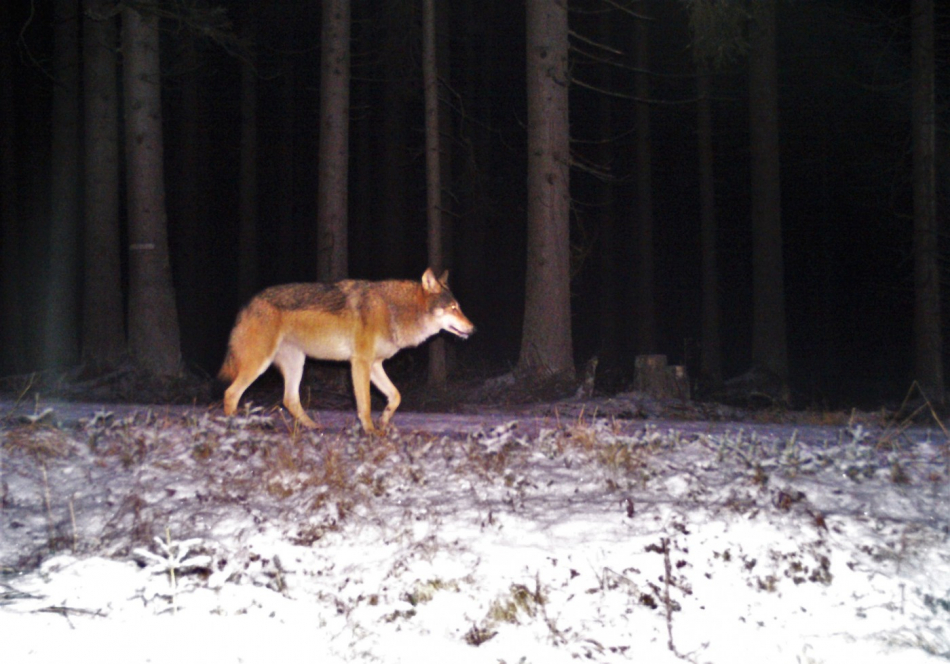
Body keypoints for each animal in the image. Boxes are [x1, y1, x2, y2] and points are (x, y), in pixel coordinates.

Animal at [221, 268, 476, 434]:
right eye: (453, 308)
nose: (473, 329)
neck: (394, 311)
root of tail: (247, 305)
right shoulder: (360, 362)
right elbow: (365, 404)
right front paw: (371, 431)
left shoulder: (375, 365)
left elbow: (395, 396)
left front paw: (384, 420)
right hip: (259, 364)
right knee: (231, 393)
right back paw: (236, 429)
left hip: (297, 363)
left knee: (290, 399)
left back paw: (313, 427)